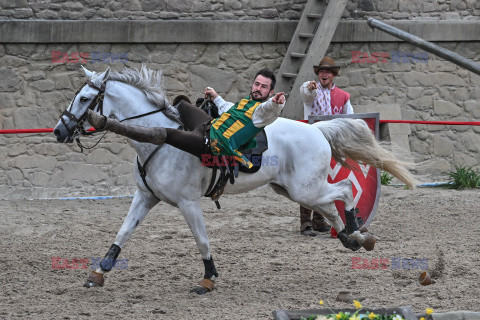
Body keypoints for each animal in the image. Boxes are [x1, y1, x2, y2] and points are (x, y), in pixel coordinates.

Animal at [53, 66, 416, 294]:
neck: (155, 144)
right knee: (330, 207)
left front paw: (208, 279)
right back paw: (352, 236)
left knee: (346, 188)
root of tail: (317, 129)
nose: (59, 131)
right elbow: (123, 233)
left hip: (306, 189)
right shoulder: (145, 197)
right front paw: (99, 272)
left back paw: (355, 227)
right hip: (295, 191)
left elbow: (202, 241)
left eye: (84, 98)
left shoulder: (188, 203)